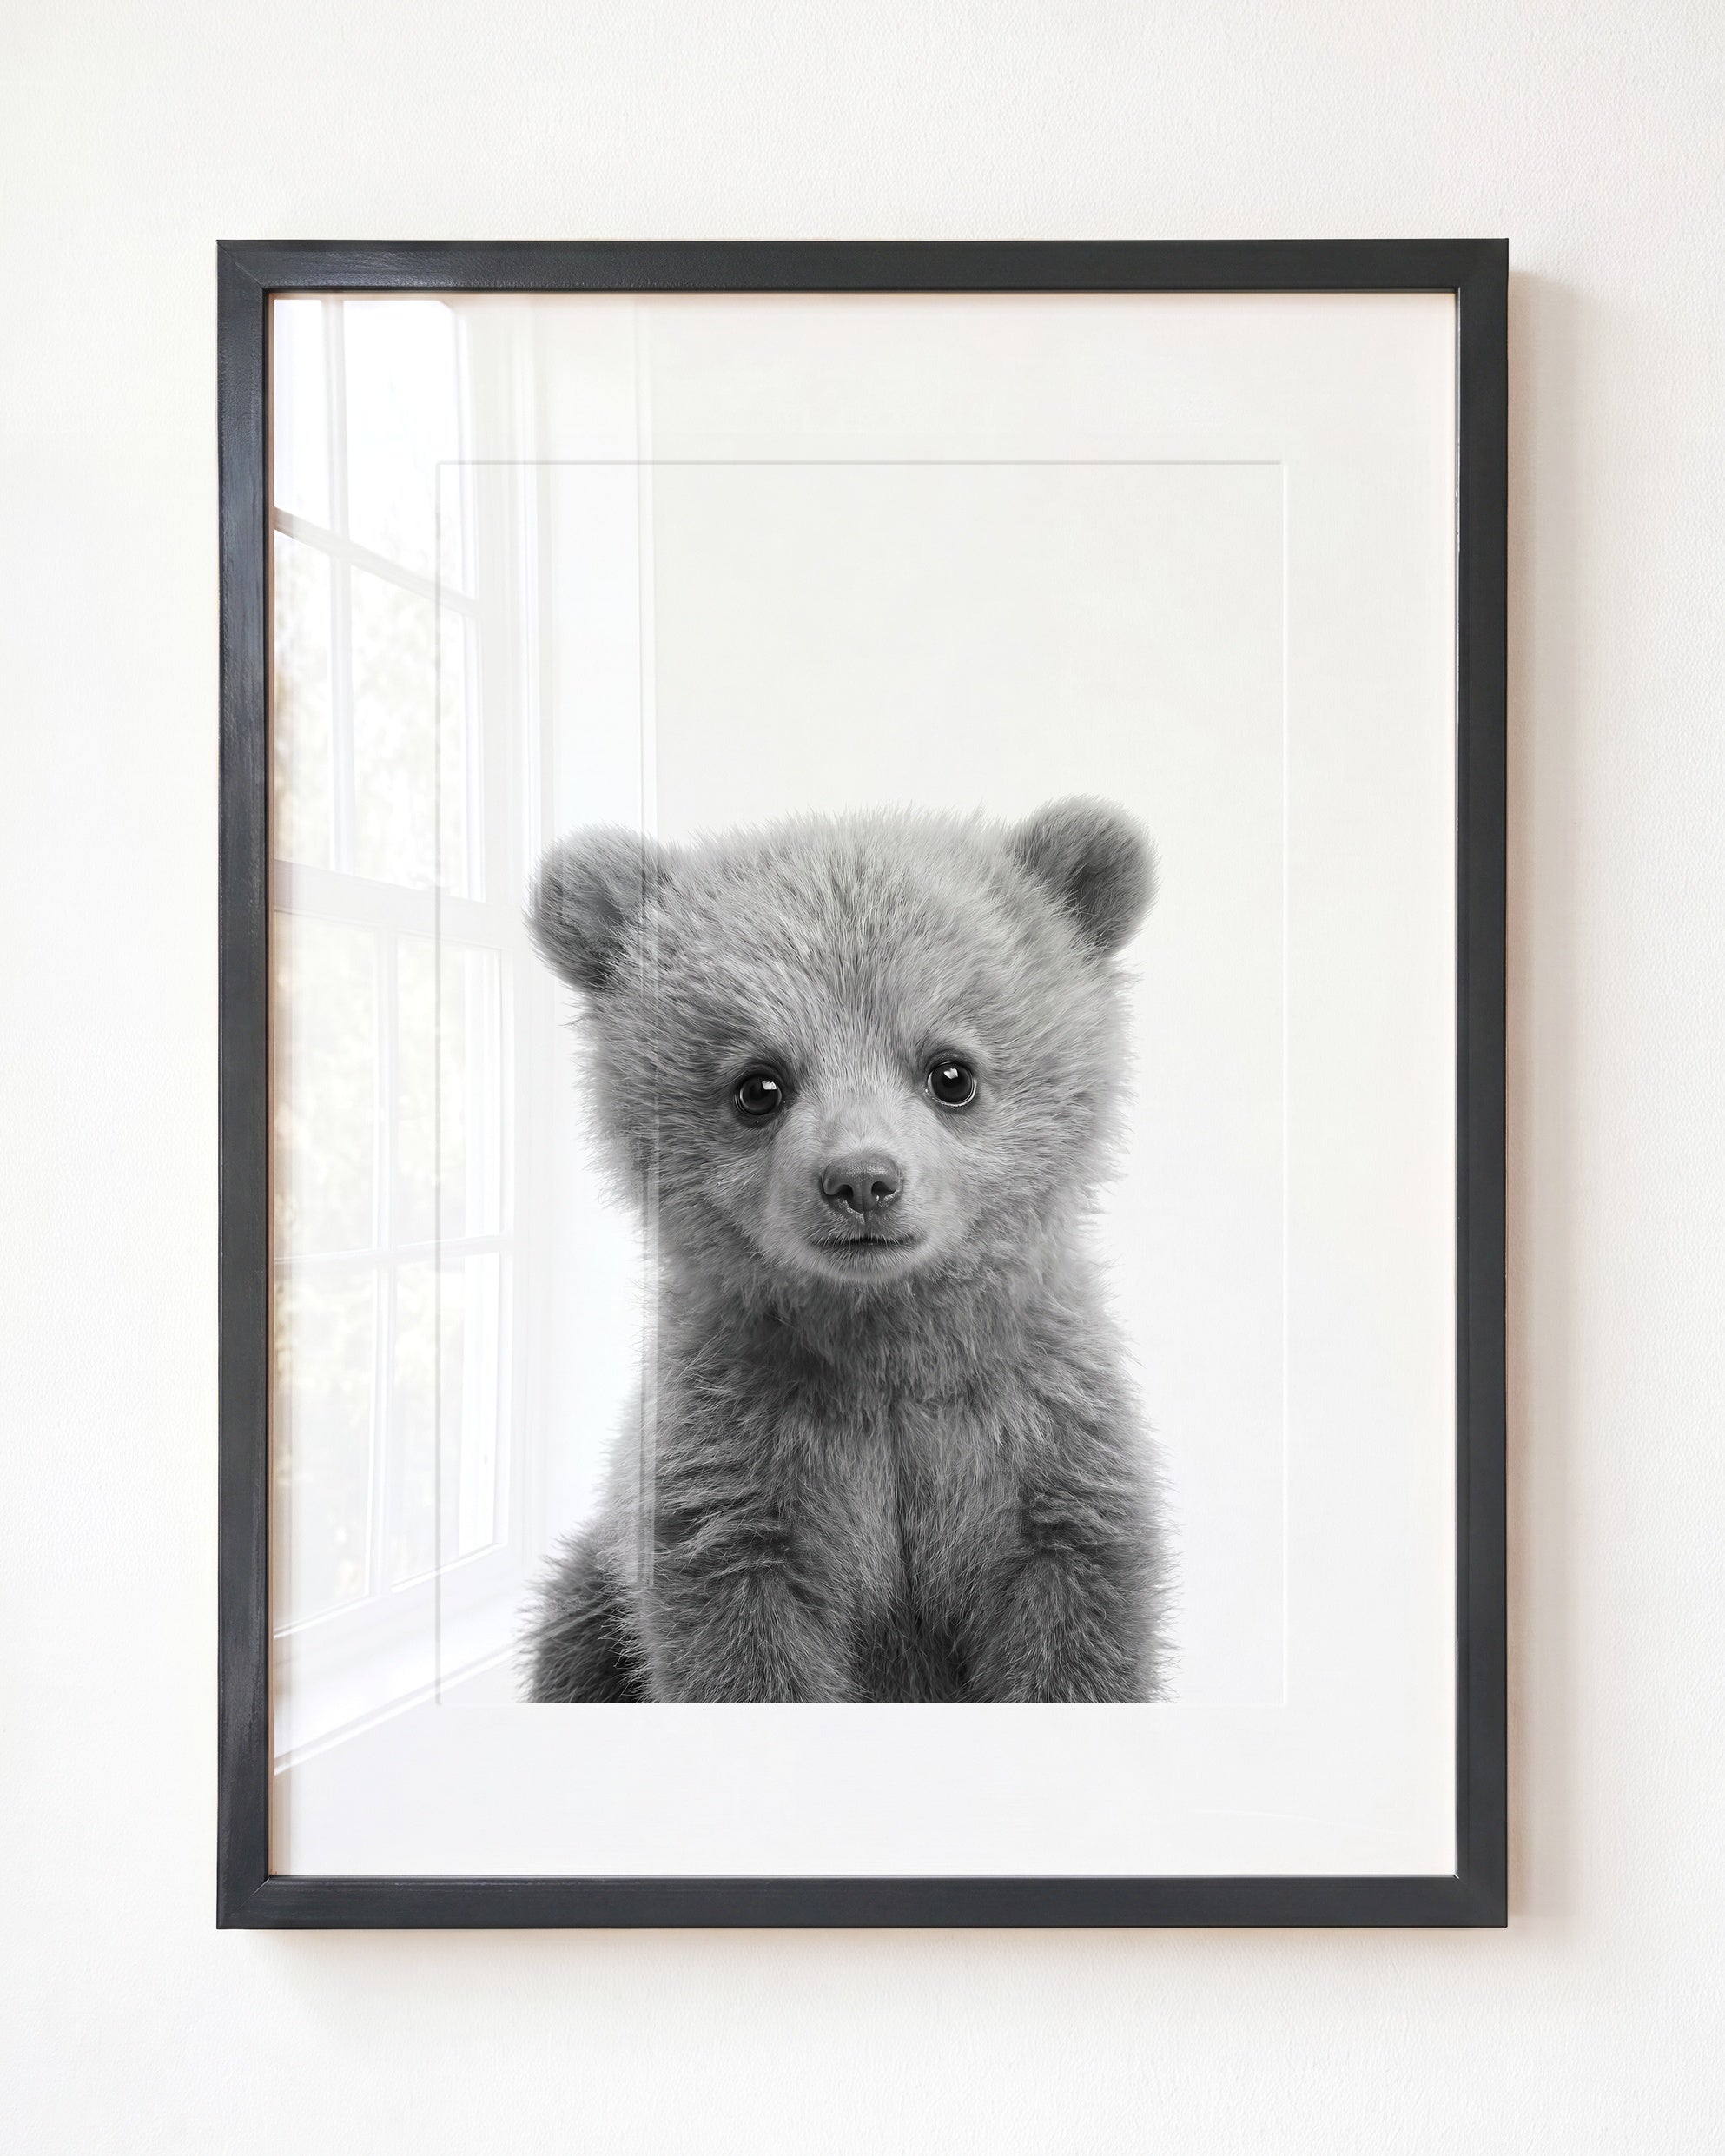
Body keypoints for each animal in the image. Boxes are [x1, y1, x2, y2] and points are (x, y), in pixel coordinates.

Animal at [520, 797, 1170, 1703]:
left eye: (951, 1072)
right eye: (758, 1085)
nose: (862, 1180)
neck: (884, 1347)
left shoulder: (1041, 1453)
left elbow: (1074, 1637)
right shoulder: (737, 1478)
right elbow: (744, 1652)